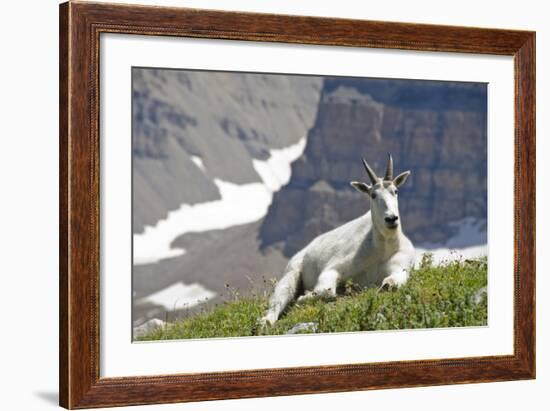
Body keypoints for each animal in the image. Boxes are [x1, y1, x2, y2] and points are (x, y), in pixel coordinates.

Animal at [260, 156, 416, 326]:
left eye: (395, 191)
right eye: (373, 195)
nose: (391, 219)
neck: (382, 248)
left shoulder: (400, 266)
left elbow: (392, 282)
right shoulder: (335, 267)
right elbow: (326, 291)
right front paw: (304, 297)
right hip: (292, 271)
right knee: (279, 298)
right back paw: (265, 321)